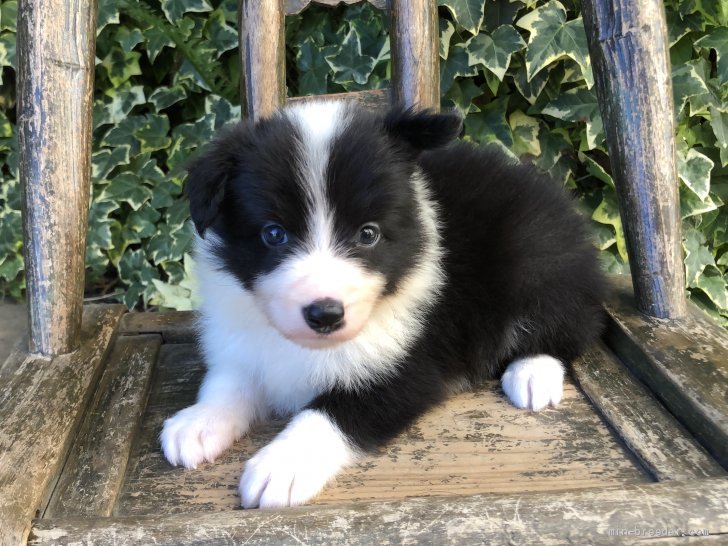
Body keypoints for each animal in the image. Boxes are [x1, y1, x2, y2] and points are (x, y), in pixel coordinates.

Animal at [162, 100, 604, 508]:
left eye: (368, 234)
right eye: (274, 234)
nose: (325, 314)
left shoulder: (409, 361)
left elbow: (331, 412)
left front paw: (283, 464)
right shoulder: (245, 340)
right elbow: (230, 381)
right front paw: (199, 421)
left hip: (538, 258)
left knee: (568, 326)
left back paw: (533, 372)